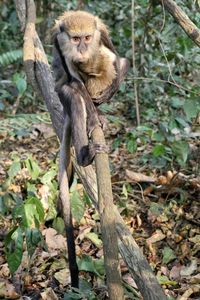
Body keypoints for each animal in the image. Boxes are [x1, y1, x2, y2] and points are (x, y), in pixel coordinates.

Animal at [51, 10, 129, 290]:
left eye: (87, 37)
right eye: (76, 39)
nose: (83, 48)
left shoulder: (101, 34)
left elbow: (119, 57)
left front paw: (113, 85)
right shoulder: (59, 41)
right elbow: (76, 83)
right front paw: (93, 116)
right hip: (60, 91)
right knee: (72, 93)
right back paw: (86, 154)